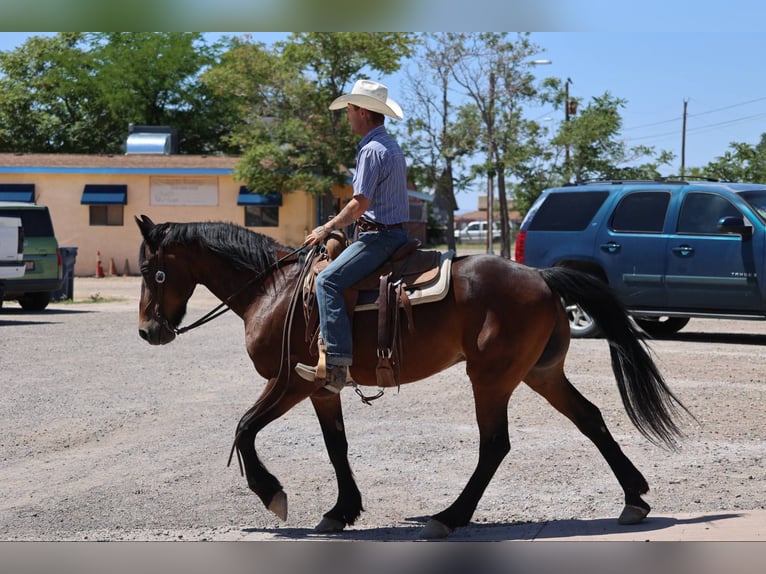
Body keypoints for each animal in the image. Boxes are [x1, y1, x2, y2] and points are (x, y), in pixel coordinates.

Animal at [135, 215, 691, 539]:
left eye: (150, 271)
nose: (147, 331)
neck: (274, 290)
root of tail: (541, 276)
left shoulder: (290, 383)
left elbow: (245, 428)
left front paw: (272, 494)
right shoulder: (320, 388)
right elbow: (336, 446)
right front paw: (341, 510)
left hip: (491, 378)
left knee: (495, 445)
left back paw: (449, 517)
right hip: (540, 373)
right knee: (591, 419)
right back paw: (634, 498)